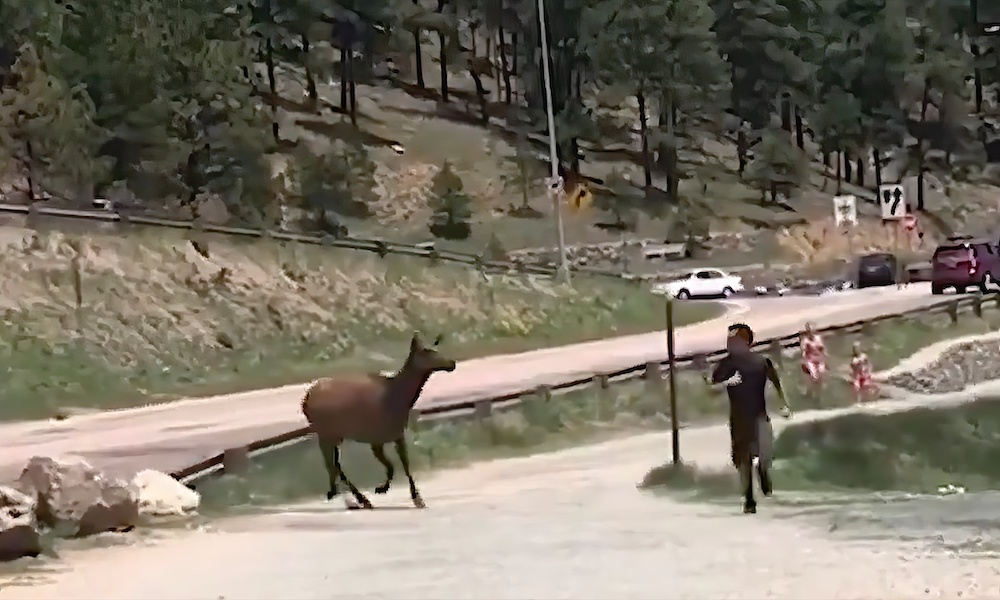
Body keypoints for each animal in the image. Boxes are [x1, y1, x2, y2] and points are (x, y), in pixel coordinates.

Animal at [300, 330, 458, 508]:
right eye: (427, 351)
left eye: (435, 349)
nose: (452, 363)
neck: (401, 398)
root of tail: (305, 401)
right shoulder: (377, 439)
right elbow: (395, 466)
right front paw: (400, 493)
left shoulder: (394, 435)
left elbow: (401, 465)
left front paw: (410, 495)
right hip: (325, 432)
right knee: (331, 464)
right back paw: (347, 496)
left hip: (333, 434)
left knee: (335, 464)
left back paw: (355, 497)